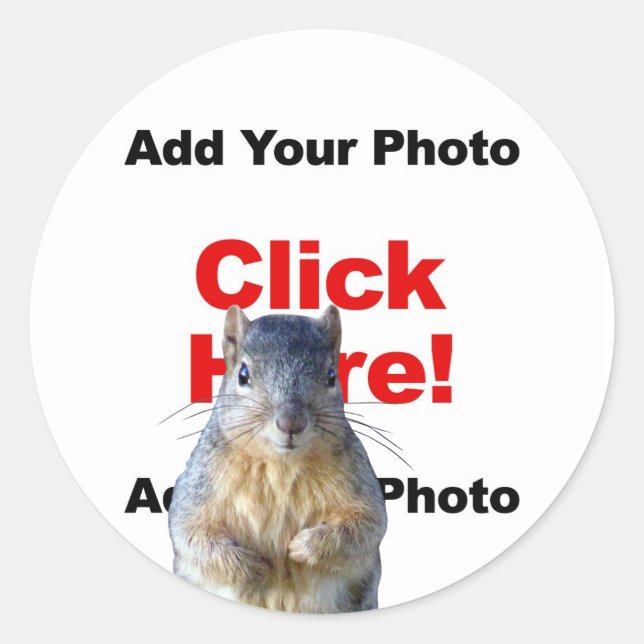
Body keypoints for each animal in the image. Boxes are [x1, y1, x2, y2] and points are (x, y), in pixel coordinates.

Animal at [169, 305, 387, 613]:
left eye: (331, 376)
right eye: (243, 374)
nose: (291, 423)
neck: (281, 465)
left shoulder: (360, 485)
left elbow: (366, 526)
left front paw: (302, 547)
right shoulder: (198, 489)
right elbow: (192, 534)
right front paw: (253, 567)